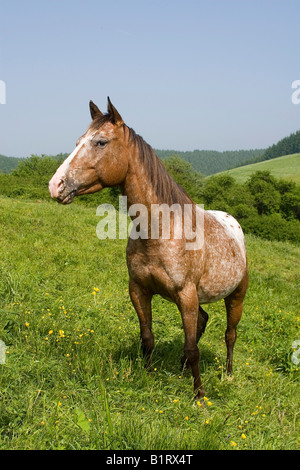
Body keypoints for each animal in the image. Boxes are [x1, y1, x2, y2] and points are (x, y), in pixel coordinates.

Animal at [49, 97, 248, 398]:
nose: (56, 185)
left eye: (101, 142)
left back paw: (228, 374)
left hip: (236, 296)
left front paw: (200, 396)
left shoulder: (186, 296)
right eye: (77, 142)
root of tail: (233, 223)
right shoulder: (139, 290)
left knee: (230, 334)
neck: (160, 231)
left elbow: (194, 348)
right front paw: (146, 375)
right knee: (202, 322)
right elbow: (148, 338)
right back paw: (182, 367)